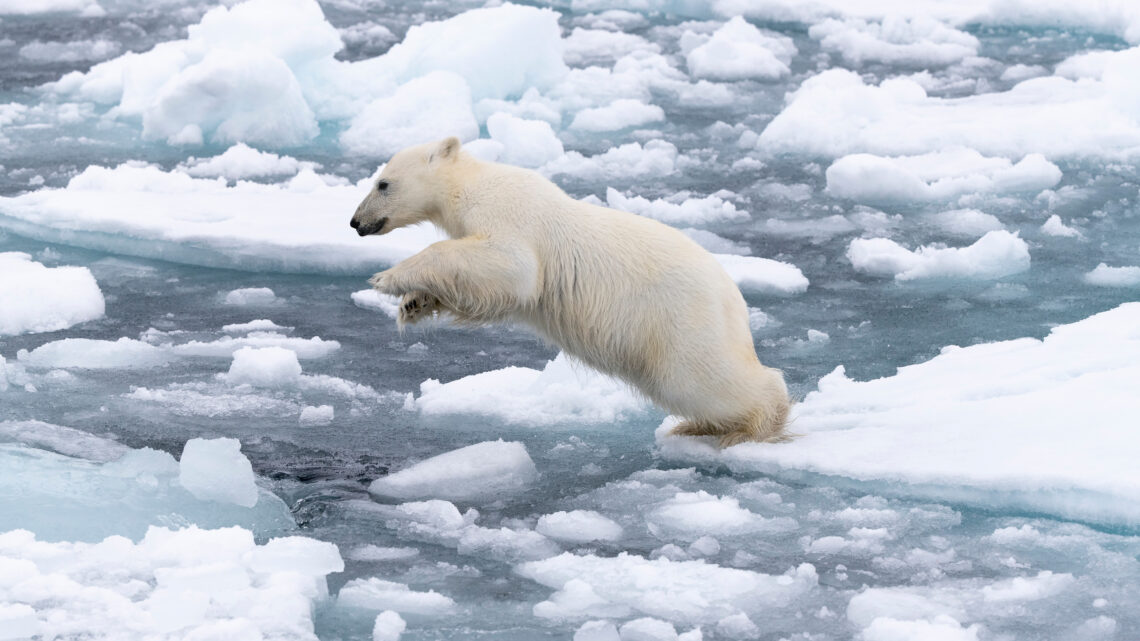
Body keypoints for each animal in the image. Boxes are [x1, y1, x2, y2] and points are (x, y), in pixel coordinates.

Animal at [350, 137, 790, 446]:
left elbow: (511, 266)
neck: (470, 184)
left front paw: (388, 278)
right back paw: (698, 427)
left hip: (680, 320)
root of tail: (734, 300)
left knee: (700, 378)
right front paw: (413, 303)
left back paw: (753, 425)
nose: (355, 222)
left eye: (383, 183)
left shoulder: (510, 213)